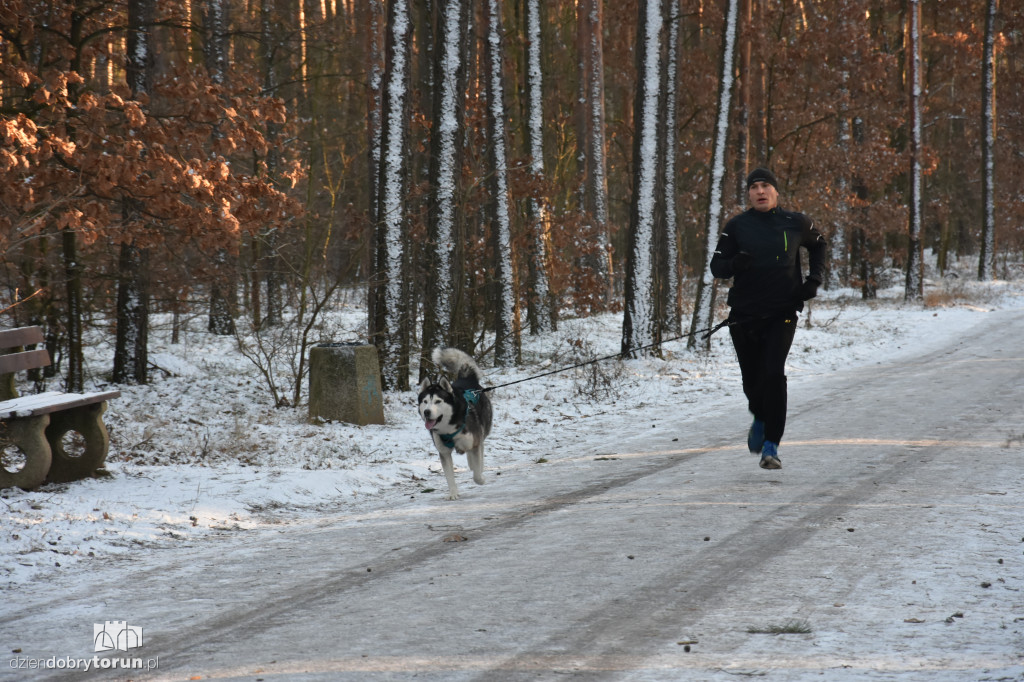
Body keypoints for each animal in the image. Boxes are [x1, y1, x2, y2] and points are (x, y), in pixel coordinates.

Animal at [417, 346, 493, 499]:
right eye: (425, 401)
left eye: (438, 401)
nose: (427, 412)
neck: (449, 427)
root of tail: (466, 379)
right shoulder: (444, 452)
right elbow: (449, 476)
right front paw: (453, 494)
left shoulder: (474, 441)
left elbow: (477, 474)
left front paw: (481, 479)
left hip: (481, 431)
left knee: (479, 449)